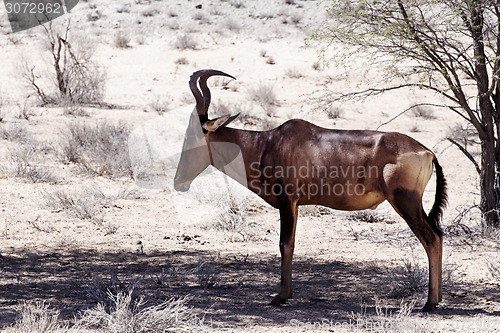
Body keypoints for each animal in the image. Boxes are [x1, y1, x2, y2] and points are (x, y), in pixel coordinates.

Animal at [174, 68, 448, 310]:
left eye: (193, 136)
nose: (179, 182)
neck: (268, 143)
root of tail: (427, 152)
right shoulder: (294, 204)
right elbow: (291, 244)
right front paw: (287, 293)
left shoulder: (287, 200)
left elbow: (285, 244)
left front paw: (280, 297)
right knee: (439, 234)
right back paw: (437, 299)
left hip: (406, 202)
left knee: (431, 238)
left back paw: (429, 303)